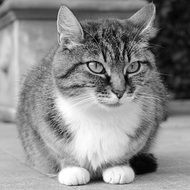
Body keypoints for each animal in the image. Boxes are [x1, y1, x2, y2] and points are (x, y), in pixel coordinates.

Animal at [16, 2, 168, 186]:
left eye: (133, 67)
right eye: (96, 66)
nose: (120, 91)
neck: (100, 117)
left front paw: (118, 167)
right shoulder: (41, 123)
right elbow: (57, 149)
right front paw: (72, 169)